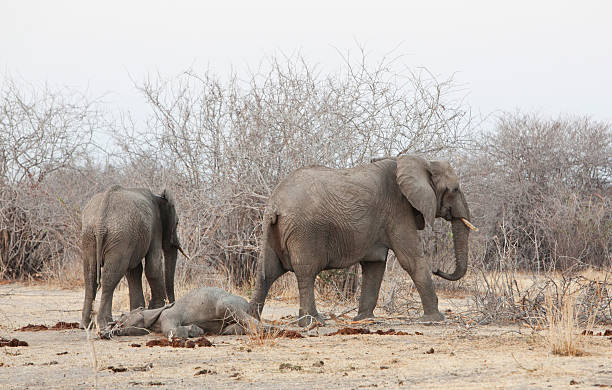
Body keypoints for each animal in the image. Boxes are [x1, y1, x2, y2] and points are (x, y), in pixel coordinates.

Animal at [81, 185, 186, 330]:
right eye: (177, 223)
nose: (171, 304)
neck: (158, 198)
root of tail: (101, 221)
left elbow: (134, 271)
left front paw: (139, 310)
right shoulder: (155, 228)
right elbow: (153, 267)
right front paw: (155, 308)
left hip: (90, 236)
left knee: (90, 276)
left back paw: (86, 326)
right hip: (120, 236)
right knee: (110, 276)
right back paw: (105, 324)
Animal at [101, 286, 260, 338]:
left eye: (123, 315)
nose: (103, 332)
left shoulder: (168, 315)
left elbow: (171, 331)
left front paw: (196, 331)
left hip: (227, 304)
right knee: (230, 329)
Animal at [249, 155, 478, 326]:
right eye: (454, 189)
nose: (438, 269)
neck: (420, 162)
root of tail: (275, 204)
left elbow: (375, 265)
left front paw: (364, 319)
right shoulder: (398, 211)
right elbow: (411, 260)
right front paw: (436, 319)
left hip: (273, 229)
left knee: (267, 271)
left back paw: (251, 319)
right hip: (304, 231)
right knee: (306, 272)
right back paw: (313, 322)